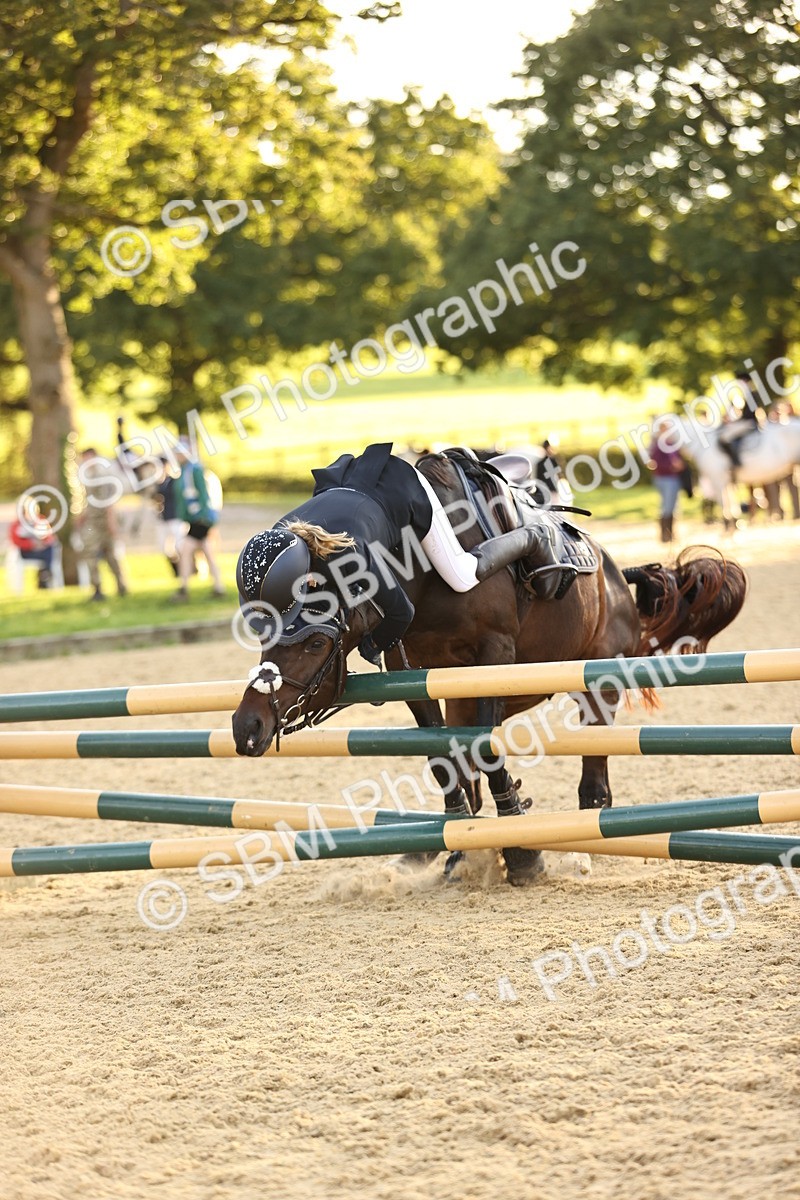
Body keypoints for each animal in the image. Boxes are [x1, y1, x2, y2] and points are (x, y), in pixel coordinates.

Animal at [232, 451, 747, 883]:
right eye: (262, 635)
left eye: (317, 641)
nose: (247, 727)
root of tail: (617, 575)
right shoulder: (413, 668)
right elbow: (443, 757)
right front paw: (459, 844)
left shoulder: (494, 653)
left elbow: (482, 748)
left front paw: (520, 851)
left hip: (595, 685)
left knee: (593, 778)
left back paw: (581, 849)